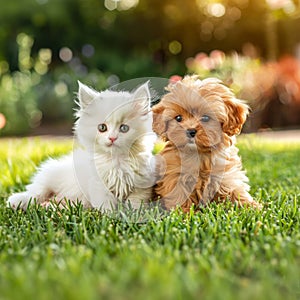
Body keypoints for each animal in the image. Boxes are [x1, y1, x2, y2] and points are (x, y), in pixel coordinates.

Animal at [8, 79, 156, 211]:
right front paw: (110, 217)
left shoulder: (141, 186)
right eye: (102, 128)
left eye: (124, 128)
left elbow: (134, 204)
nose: (112, 138)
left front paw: (134, 215)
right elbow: (107, 206)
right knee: (36, 193)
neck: (116, 161)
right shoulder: (98, 186)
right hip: (49, 175)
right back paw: (17, 201)